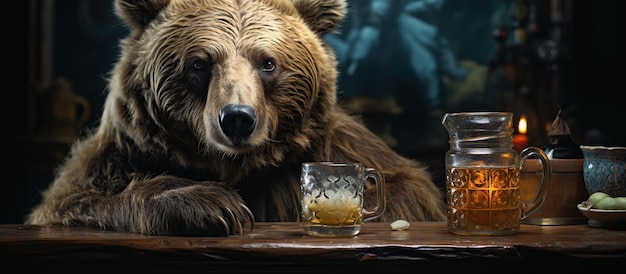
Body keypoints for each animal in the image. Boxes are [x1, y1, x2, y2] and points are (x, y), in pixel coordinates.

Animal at [24, 0, 444, 235]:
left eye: (268, 63)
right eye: (199, 62)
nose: (238, 118)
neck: (235, 166)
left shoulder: (339, 148)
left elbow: (405, 196)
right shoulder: (124, 154)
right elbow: (72, 201)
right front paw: (213, 206)